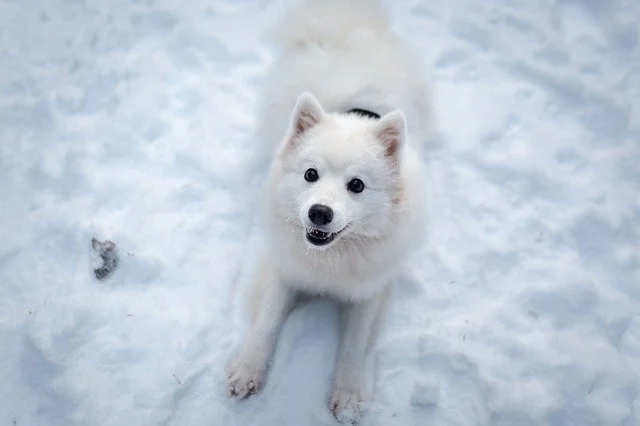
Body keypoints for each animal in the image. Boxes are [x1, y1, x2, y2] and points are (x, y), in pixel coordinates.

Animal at [225, 0, 430, 422]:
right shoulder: (283, 270)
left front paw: (348, 396)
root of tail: (348, 28)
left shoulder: (369, 291)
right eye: (310, 174)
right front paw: (247, 371)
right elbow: (266, 322)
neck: (329, 260)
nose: (319, 213)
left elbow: (354, 346)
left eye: (357, 185)